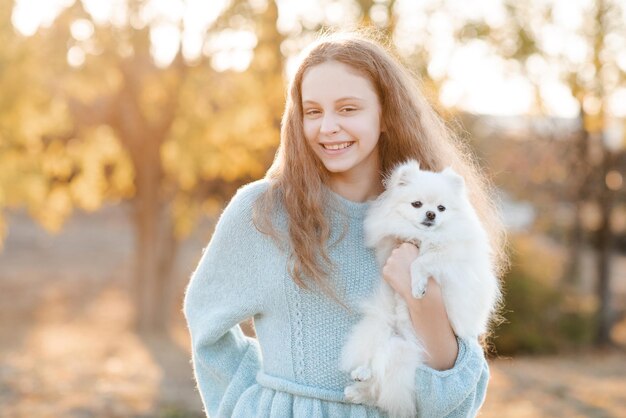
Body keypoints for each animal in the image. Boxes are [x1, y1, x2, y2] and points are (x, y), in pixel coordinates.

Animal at [338, 160, 500, 418]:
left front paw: (417, 287)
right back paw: (361, 374)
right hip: (383, 330)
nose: (431, 214)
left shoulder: (448, 258)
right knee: (375, 365)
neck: (423, 236)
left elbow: (421, 262)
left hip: (399, 351)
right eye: (417, 204)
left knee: (381, 384)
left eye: (442, 208)